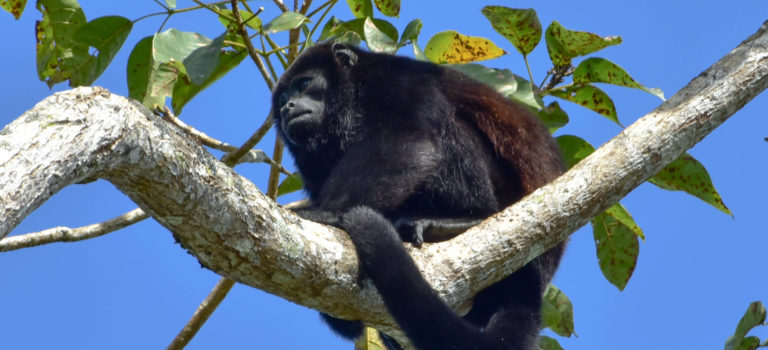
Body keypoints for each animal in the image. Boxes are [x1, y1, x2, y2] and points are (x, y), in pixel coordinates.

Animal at [270, 43, 564, 350]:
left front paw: (325, 212)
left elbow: (410, 139)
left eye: (304, 84)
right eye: (283, 99)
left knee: (450, 127)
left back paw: (466, 219)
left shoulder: (397, 80)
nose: (287, 107)